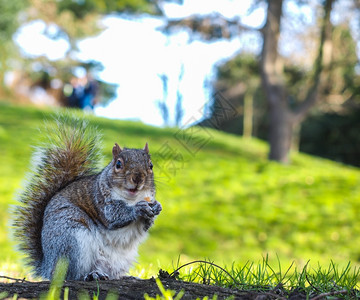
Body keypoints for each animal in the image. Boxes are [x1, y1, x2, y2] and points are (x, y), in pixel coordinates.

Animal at [12, 116, 162, 280]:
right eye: (118, 164)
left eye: (151, 165)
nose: (138, 178)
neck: (131, 198)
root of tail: (48, 267)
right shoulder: (100, 200)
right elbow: (114, 216)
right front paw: (138, 209)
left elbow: (144, 226)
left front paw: (157, 207)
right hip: (71, 242)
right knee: (70, 275)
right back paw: (91, 275)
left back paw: (125, 276)